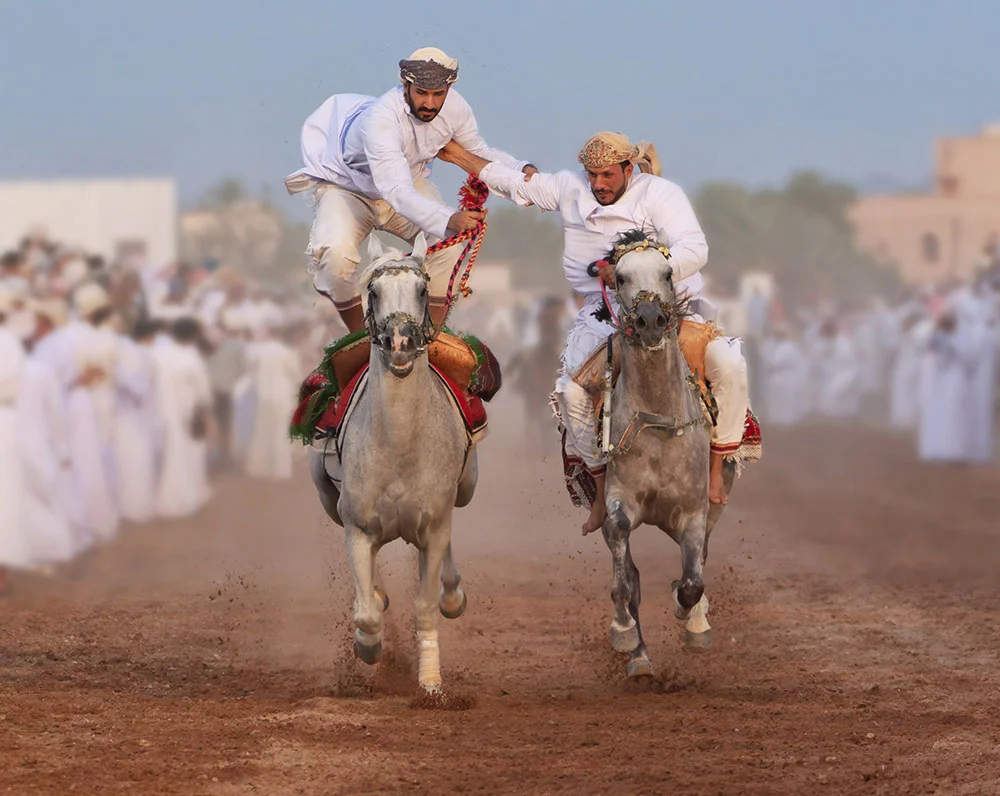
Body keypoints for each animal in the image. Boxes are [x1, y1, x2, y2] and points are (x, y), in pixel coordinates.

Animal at [310, 233, 478, 692]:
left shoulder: (434, 523)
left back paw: (452, 594)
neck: (400, 448)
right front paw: (368, 647)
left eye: (421, 290)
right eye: (373, 291)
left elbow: (426, 605)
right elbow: (366, 612)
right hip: (327, 498)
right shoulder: (357, 525)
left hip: (464, 489)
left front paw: (431, 683)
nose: (400, 343)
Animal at [596, 230, 732, 676]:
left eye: (667, 273)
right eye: (620, 277)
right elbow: (625, 572)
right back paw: (639, 657)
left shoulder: (693, 511)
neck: (657, 422)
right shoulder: (619, 500)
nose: (651, 320)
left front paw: (690, 617)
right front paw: (624, 633)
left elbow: (692, 581)